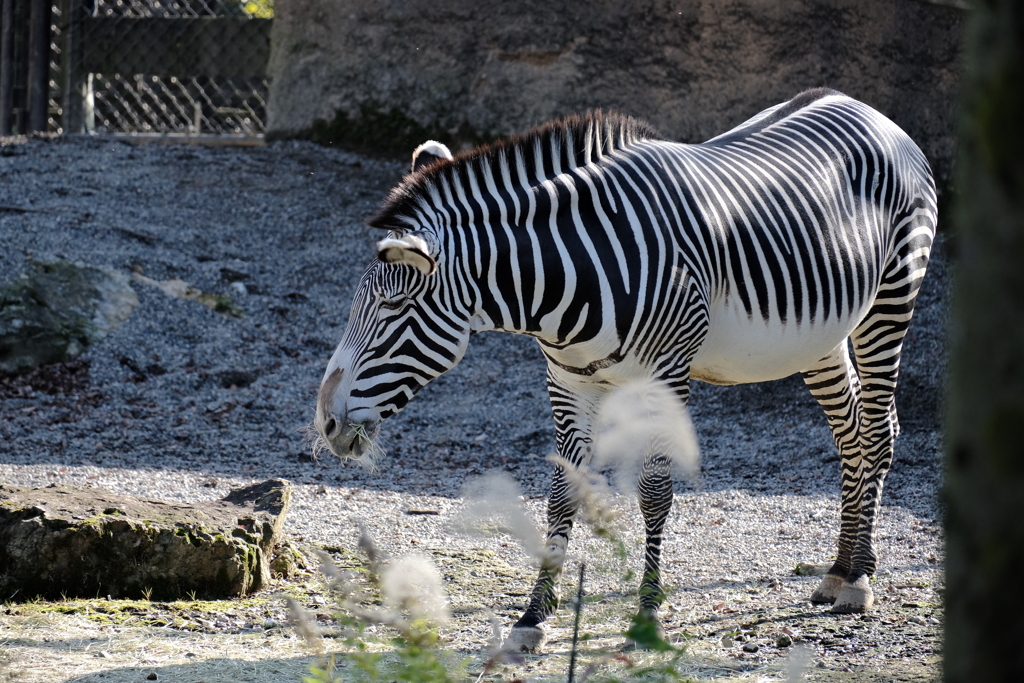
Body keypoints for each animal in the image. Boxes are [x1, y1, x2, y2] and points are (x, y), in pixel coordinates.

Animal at [311, 88, 937, 655]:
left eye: (393, 308)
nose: (327, 424)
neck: (566, 284)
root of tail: (864, 107)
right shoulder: (567, 381)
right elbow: (562, 493)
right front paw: (533, 616)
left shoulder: (666, 375)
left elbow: (655, 492)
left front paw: (647, 613)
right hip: (819, 335)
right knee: (852, 432)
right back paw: (838, 568)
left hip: (890, 299)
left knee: (878, 431)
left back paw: (860, 577)